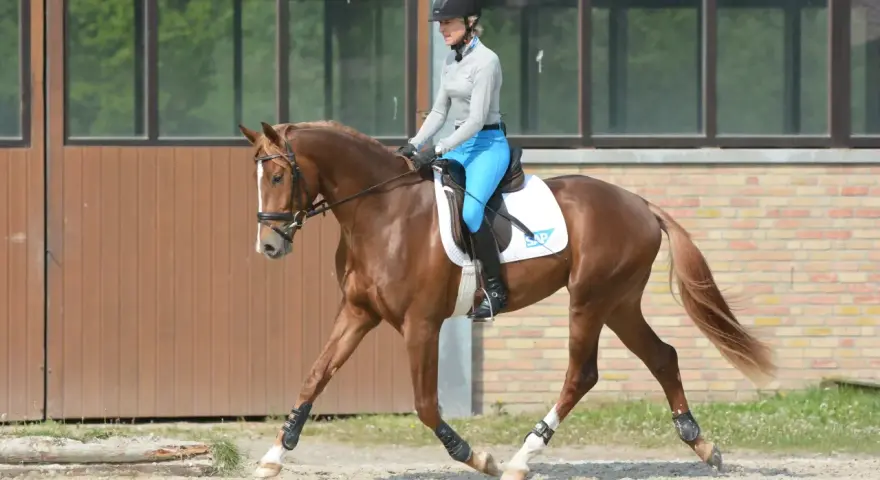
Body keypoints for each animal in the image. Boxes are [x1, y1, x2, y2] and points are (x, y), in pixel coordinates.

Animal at [238, 120, 776, 480]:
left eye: (280, 177)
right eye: (257, 178)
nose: (269, 246)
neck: (381, 212)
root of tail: (641, 204)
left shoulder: (421, 324)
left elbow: (426, 405)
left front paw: (479, 457)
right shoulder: (357, 313)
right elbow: (314, 376)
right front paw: (273, 455)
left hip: (590, 300)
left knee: (582, 374)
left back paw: (522, 457)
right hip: (620, 303)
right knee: (663, 356)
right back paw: (702, 445)